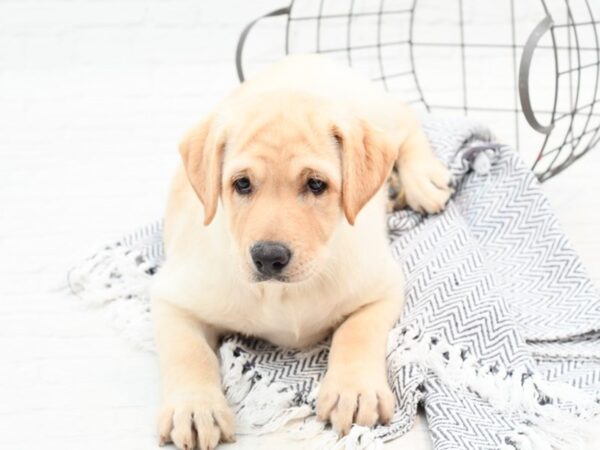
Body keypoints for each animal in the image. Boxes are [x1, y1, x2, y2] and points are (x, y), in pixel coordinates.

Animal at [150, 54, 450, 448]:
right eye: (241, 184)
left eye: (316, 185)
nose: (268, 257)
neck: (282, 295)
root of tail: (306, 58)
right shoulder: (174, 298)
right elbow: (188, 353)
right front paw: (194, 407)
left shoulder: (382, 288)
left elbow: (356, 331)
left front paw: (354, 390)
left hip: (379, 111)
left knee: (405, 118)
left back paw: (421, 179)